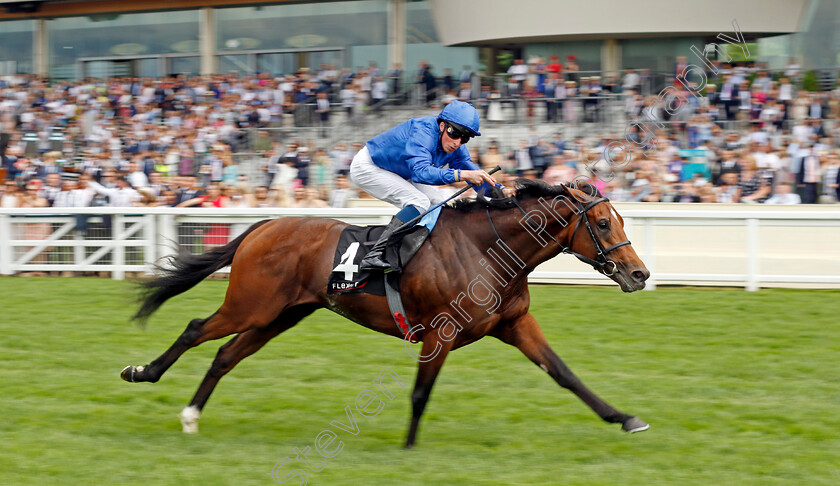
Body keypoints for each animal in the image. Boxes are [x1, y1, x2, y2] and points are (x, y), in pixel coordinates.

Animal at [121, 179, 652, 448]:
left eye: (621, 219)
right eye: (602, 222)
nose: (640, 273)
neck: (489, 250)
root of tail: (262, 225)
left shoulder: (514, 324)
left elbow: (564, 373)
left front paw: (624, 418)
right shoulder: (441, 332)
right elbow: (420, 393)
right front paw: (409, 449)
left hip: (279, 315)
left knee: (227, 355)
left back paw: (191, 415)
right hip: (250, 305)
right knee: (196, 330)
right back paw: (141, 372)